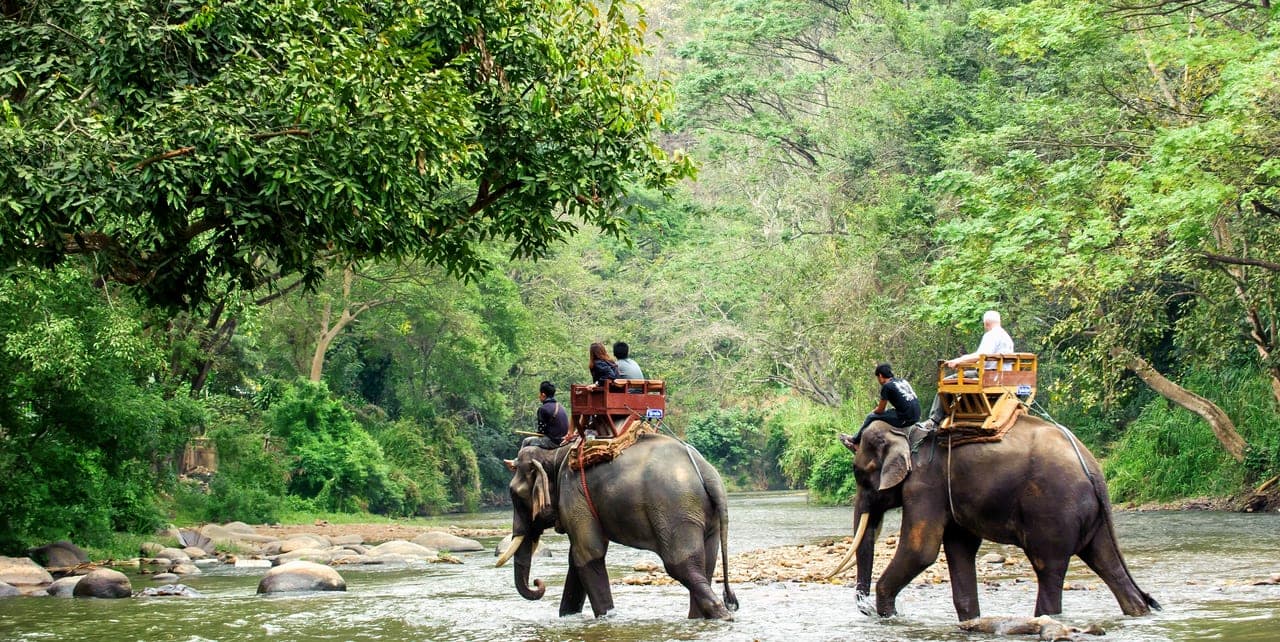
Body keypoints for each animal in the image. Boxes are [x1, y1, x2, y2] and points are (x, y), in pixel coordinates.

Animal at [496, 432, 738, 620]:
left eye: (515, 495)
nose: (538, 582)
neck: (556, 453)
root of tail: (708, 472)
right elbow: (577, 558)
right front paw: (567, 616)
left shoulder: (574, 495)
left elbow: (588, 553)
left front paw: (607, 617)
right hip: (704, 516)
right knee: (705, 564)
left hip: (676, 510)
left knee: (680, 565)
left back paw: (723, 615)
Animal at [833, 418, 1159, 620]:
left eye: (859, 474)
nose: (865, 610)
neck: (904, 431)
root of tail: (1094, 469)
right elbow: (959, 548)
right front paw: (970, 620)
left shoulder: (925, 486)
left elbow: (920, 551)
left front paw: (890, 617)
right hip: (1094, 518)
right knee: (1107, 563)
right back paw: (1138, 611)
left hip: (1053, 512)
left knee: (1049, 569)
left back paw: (1045, 618)